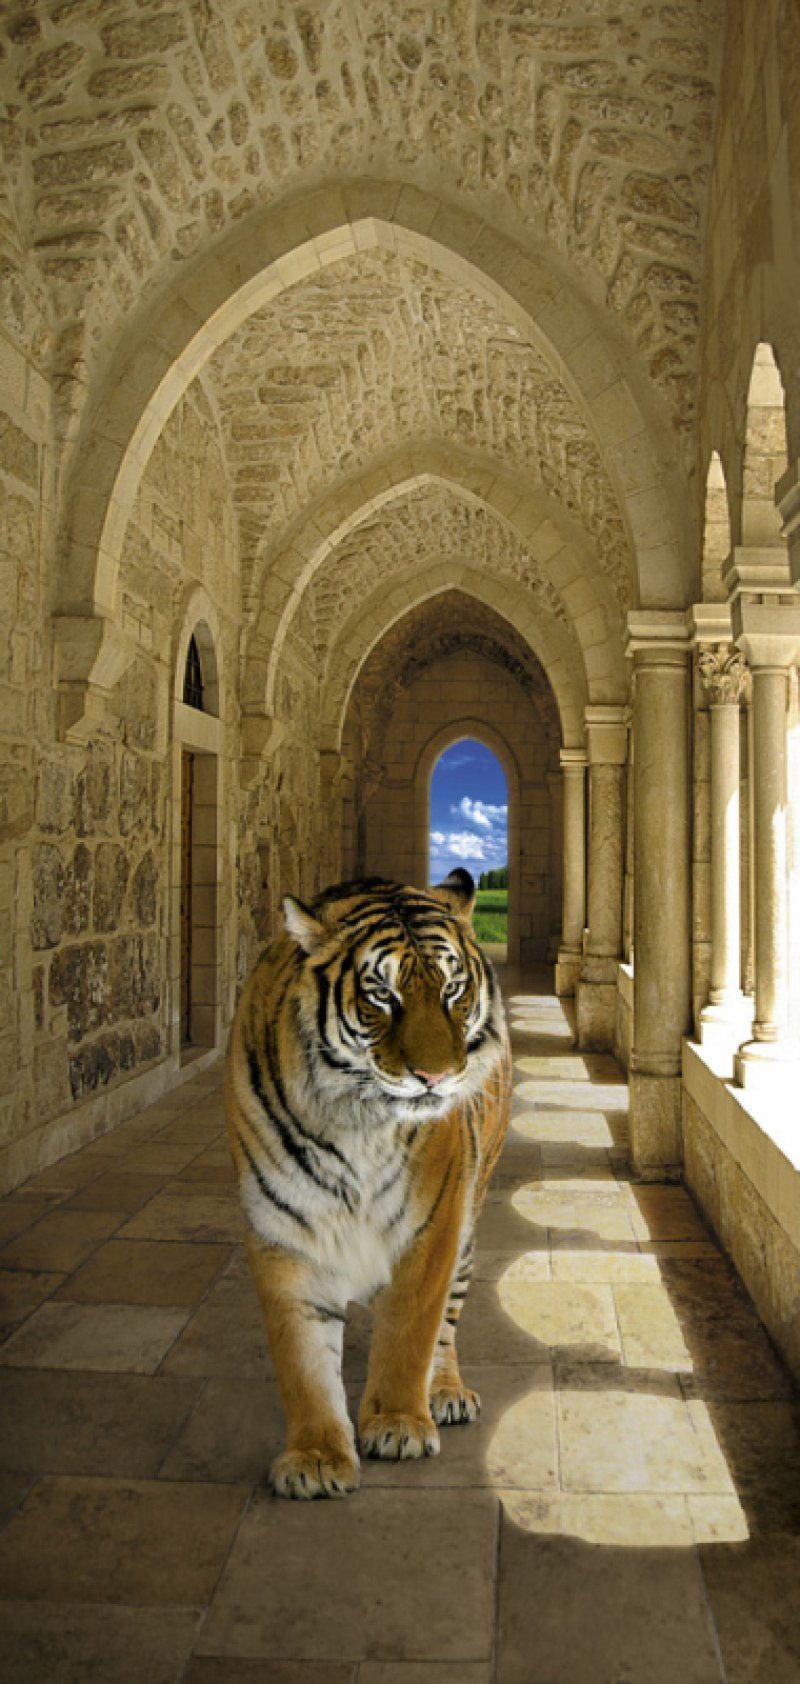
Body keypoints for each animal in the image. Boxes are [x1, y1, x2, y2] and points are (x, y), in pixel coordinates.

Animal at [224, 867, 512, 1500]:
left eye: (453, 989)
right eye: (383, 994)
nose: (436, 1077)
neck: (358, 1119)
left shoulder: (434, 1224)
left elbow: (411, 1330)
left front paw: (399, 1425)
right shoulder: (283, 1229)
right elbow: (302, 1359)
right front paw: (315, 1458)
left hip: (470, 1227)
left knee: (447, 1325)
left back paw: (446, 1393)